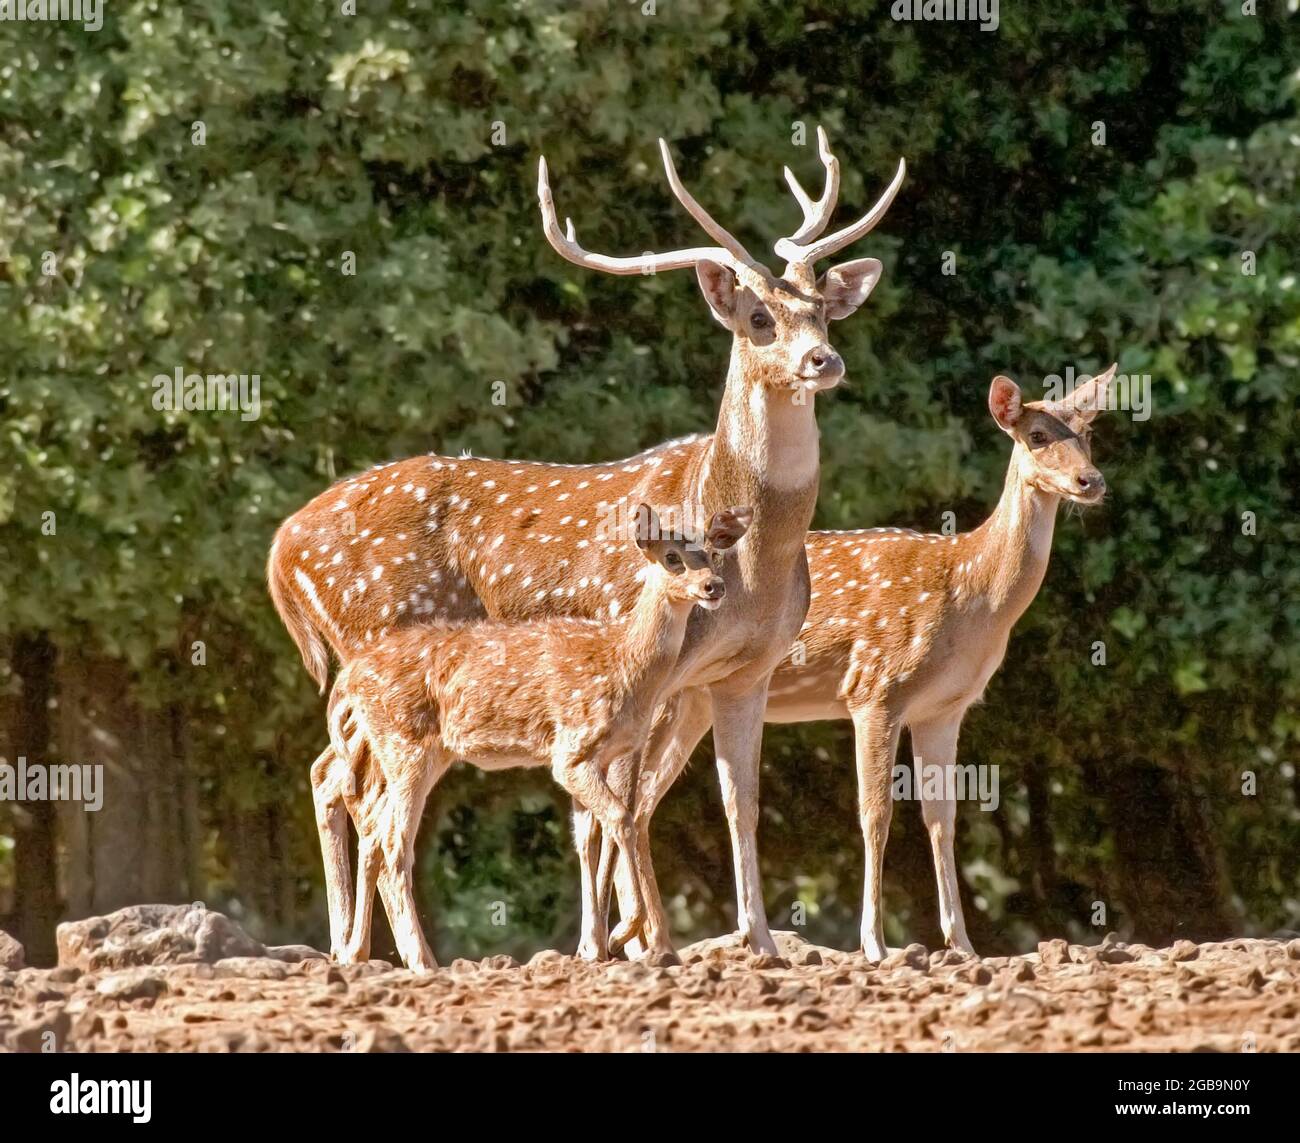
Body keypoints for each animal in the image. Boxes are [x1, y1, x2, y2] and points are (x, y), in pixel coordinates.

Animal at [321, 505, 751, 971]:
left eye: (710, 552)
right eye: (672, 557)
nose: (714, 586)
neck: (622, 662)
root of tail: (348, 678)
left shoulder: (597, 757)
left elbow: (588, 839)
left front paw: (593, 947)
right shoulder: (571, 749)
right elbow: (621, 818)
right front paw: (622, 932)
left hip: (415, 752)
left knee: (371, 834)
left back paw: (357, 952)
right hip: (405, 743)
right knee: (393, 841)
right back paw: (420, 960)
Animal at [594, 368, 1117, 960]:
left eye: (1088, 433)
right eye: (1037, 435)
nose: (1091, 482)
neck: (972, 593)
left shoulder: (945, 708)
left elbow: (943, 818)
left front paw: (962, 945)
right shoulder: (876, 686)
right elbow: (875, 814)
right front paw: (875, 943)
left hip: (697, 703)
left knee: (639, 804)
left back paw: (640, 940)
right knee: (625, 799)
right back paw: (636, 939)